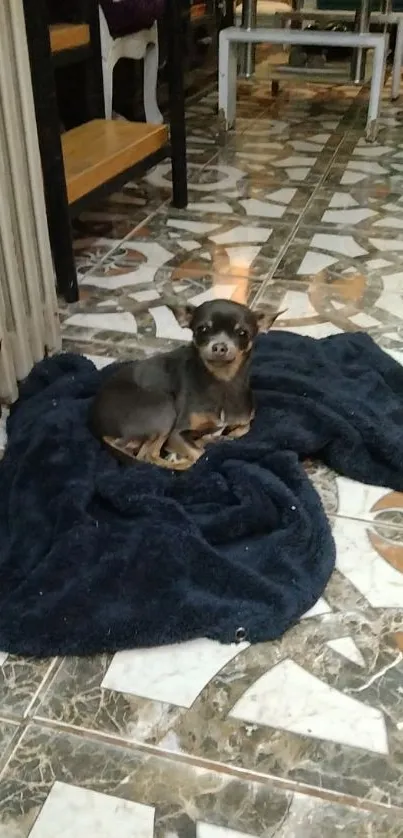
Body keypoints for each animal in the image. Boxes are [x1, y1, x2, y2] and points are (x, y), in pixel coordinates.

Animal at [90, 302, 282, 472]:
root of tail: (95, 421)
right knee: (147, 456)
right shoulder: (176, 433)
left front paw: (214, 438)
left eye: (242, 333)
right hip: (163, 409)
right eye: (202, 329)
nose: (219, 346)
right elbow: (200, 453)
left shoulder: (244, 421)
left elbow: (242, 430)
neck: (222, 381)